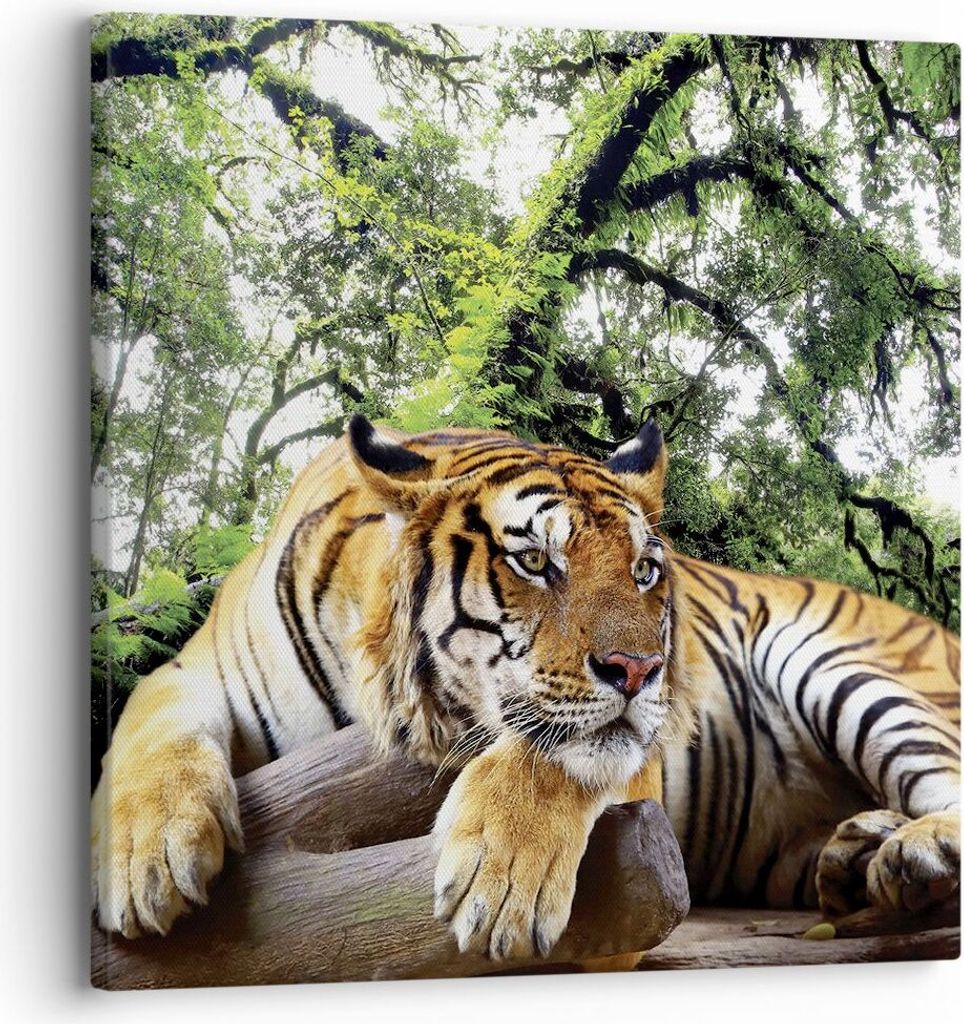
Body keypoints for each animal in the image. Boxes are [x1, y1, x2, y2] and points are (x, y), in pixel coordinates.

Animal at [91, 416, 960, 961]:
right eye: (536, 561)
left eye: (645, 570)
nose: (643, 670)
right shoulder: (192, 669)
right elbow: (149, 723)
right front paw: (146, 861)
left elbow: (559, 753)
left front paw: (500, 881)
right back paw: (856, 856)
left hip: (834, 663)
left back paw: (913, 854)